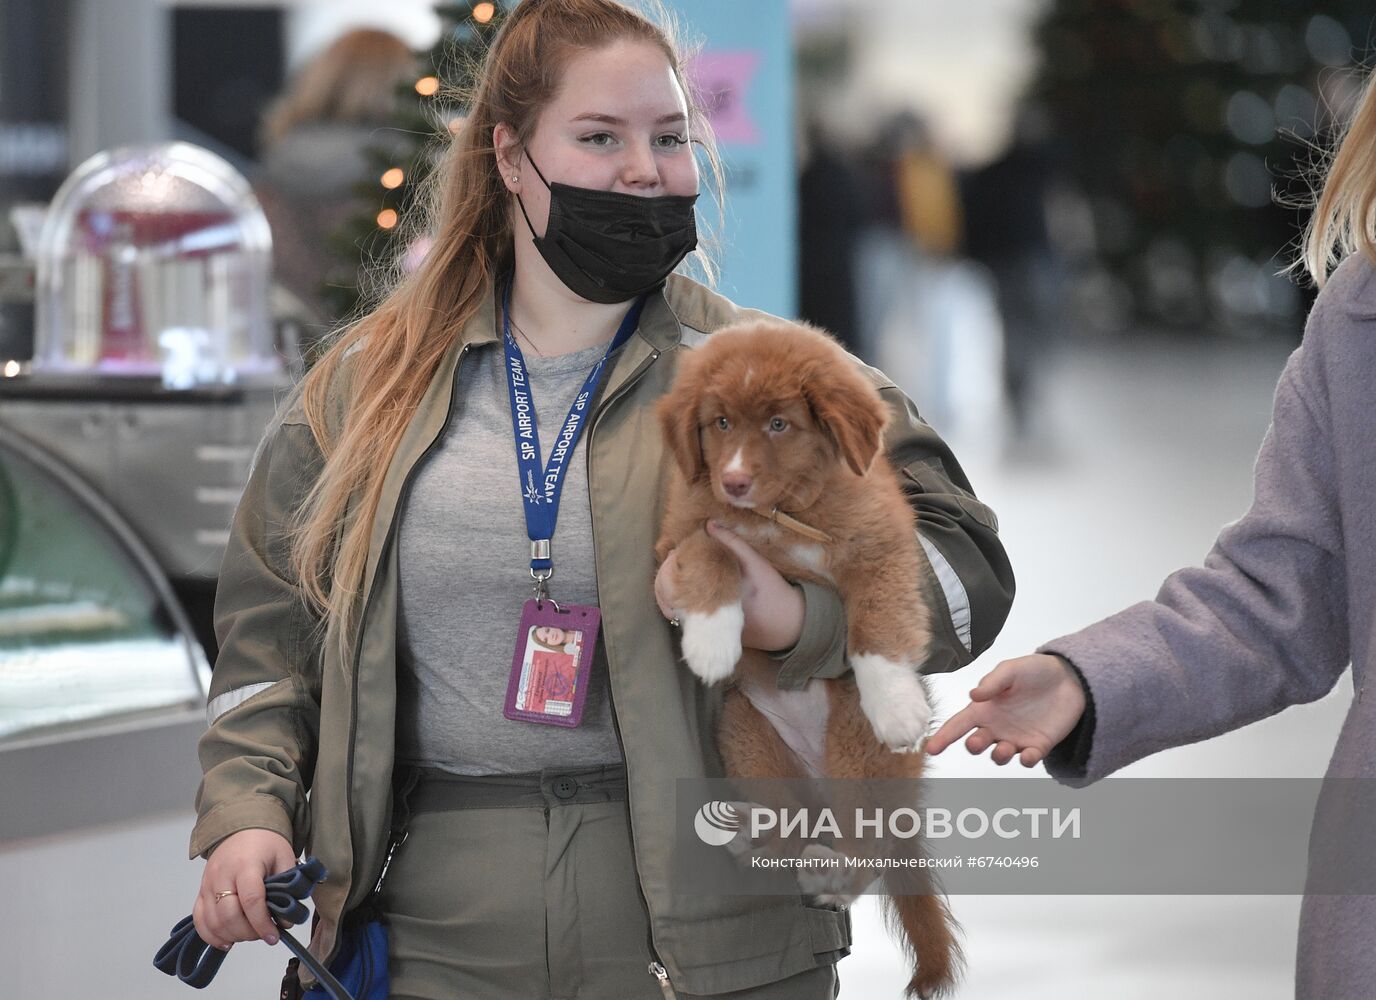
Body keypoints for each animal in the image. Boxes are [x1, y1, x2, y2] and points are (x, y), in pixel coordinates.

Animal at [657, 319, 963, 995]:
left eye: (779, 424)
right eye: (720, 423)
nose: (734, 482)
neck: (784, 515)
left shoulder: (884, 544)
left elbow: (877, 619)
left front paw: (897, 704)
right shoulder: (679, 534)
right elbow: (713, 552)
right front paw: (711, 640)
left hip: (855, 750)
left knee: (869, 848)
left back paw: (834, 869)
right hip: (748, 736)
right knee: (790, 823)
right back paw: (754, 832)